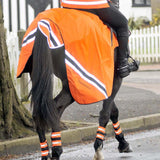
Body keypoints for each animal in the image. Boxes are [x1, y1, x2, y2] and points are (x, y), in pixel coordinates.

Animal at [16, 7, 132, 160]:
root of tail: (43, 25)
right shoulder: (114, 79)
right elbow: (106, 112)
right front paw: (99, 146)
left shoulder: (105, 83)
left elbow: (113, 111)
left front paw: (123, 143)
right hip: (70, 86)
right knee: (54, 108)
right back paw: (56, 149)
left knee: (42, 112)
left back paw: (48, 152)